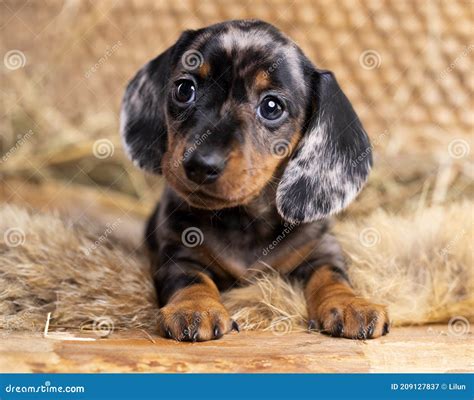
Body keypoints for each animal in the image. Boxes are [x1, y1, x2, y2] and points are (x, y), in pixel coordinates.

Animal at [120, 19, 390, 340]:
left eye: (271, 107)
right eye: (184, 89)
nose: (200, 165)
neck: (244, 220)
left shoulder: (321, 249)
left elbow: (331, 275)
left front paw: (351, 304)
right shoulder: (178, 252)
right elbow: (190, 278)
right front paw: (195, 308)